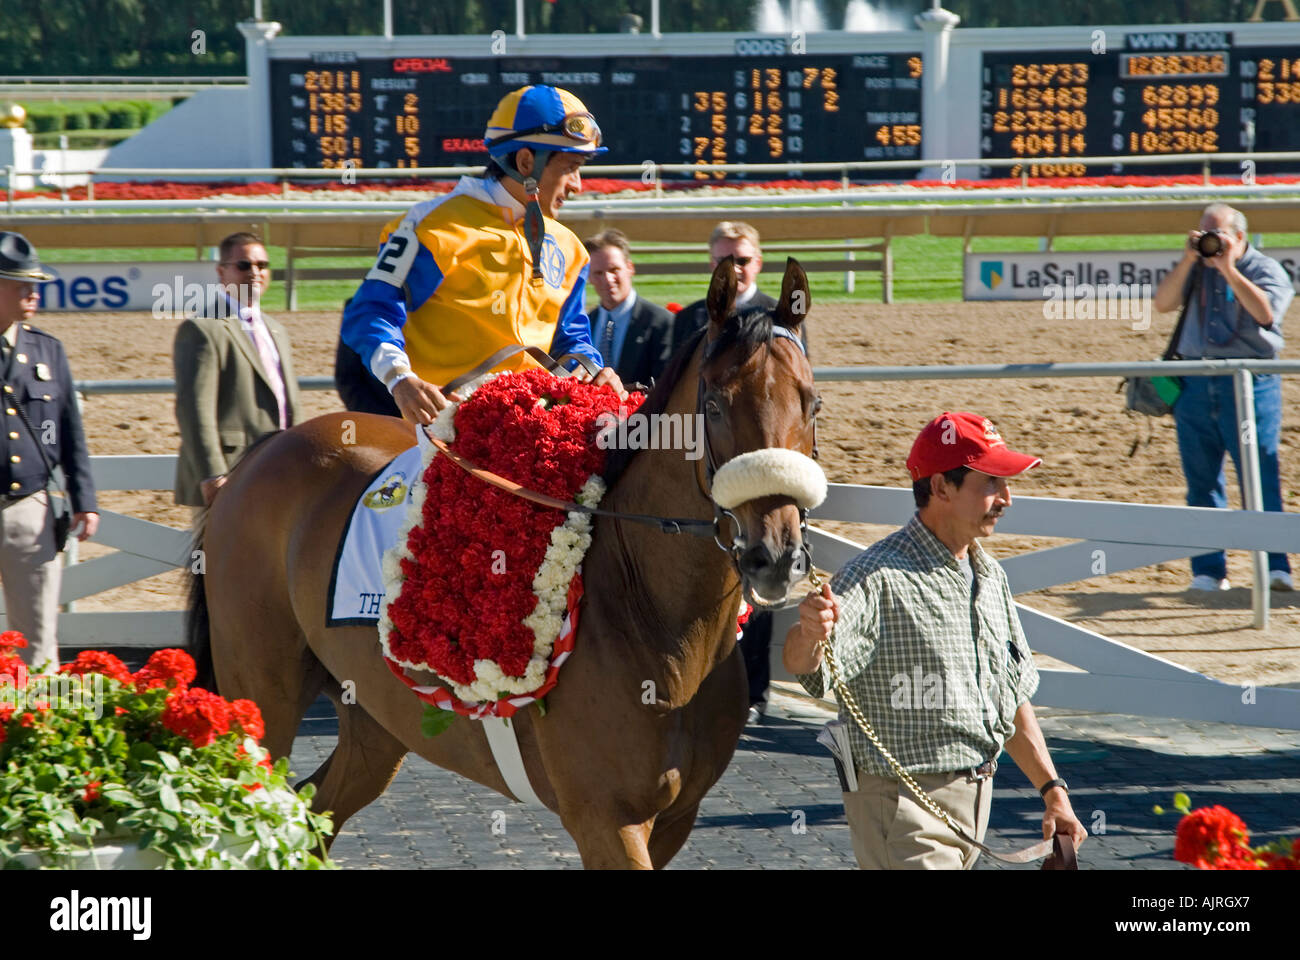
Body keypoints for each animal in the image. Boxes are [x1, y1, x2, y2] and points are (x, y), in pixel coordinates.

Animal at [189, 256, 821, 868]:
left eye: (812, 402)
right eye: (713, 404)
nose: (773, 556)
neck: (652, 618)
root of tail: (258, 456)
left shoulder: (676, 820)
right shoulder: (607, 820)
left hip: (376, 717)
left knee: (313, 814)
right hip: (263, 696)